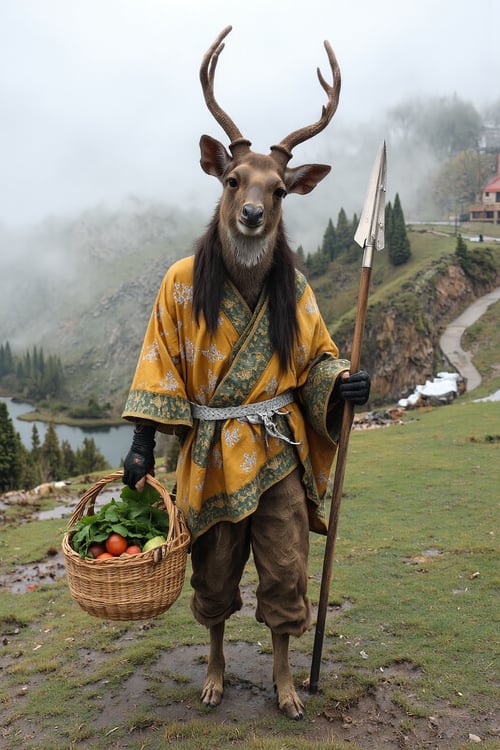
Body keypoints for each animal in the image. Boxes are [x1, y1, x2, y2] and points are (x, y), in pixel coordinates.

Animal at [123, 25, 370, 720]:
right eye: (233, 180)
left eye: (279, 188)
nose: (254, 215)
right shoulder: (168, 301)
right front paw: (135, 463)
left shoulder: (303, 305)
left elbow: (315, 370)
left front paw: (290, 689)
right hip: (210, 529)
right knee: (213, 596)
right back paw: (212, 681)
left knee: (277, 594)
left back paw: (287, 687)